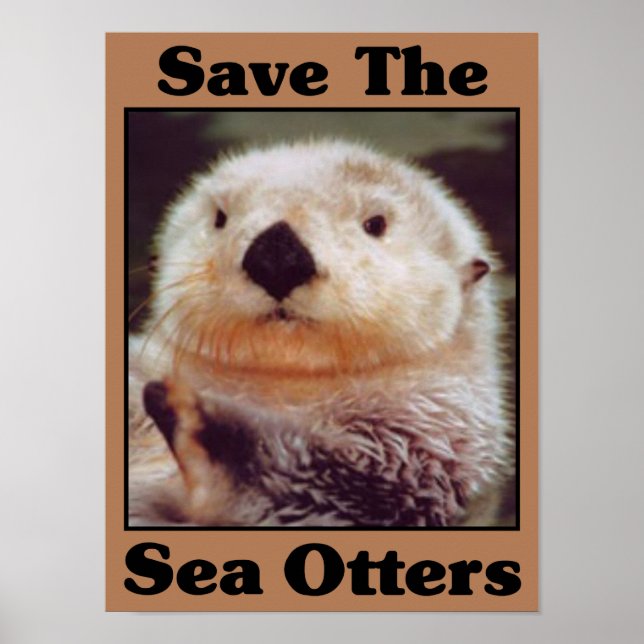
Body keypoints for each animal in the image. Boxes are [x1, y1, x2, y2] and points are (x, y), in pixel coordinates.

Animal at [128, 140, 512, 527]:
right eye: (220, 218)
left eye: (375, 224)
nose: (277, 256)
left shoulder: (424, 446)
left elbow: (340, 482)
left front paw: (194, 416)